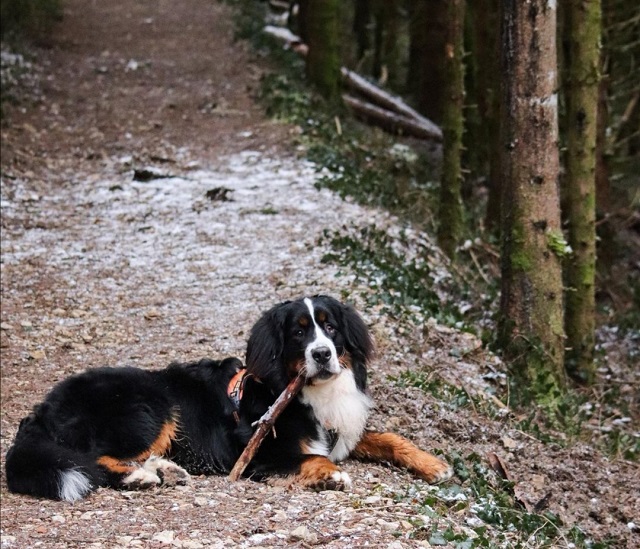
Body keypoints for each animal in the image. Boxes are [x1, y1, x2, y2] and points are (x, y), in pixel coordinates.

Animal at [6, 296, 456, 500]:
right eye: (298, 333)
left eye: (330, 328)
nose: (322, 354)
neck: (306, 392)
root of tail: (41, 410)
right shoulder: (260, 454)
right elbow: (310, 458)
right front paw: (331, 475)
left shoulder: (340, 430)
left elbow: (389, 438)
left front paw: (433, 464)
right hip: (149, 405)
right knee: (93, 458)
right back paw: (141, 476)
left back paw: (166, 470)